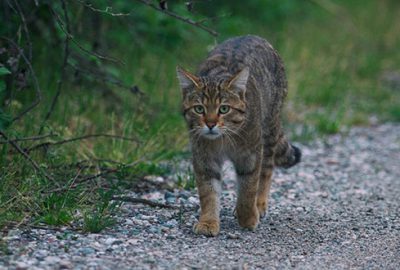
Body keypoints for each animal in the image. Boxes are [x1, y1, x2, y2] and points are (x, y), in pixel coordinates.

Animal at [176, 35, 300, 236]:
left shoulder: (250, 155)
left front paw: (248, 217)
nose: (210, 124)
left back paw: (260, 204)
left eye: (224, 109)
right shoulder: (205, 158)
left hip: (268, 131)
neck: (222, 140)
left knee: (266, 170)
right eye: (199, 109)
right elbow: (208, 193)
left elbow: (248, 189)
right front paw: (208, 222)